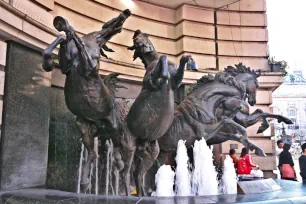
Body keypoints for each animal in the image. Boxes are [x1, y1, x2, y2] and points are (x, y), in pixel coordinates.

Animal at [41, 9, 130, 191]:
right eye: (109, 21)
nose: (125, 13)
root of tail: (100, 126)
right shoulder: (66, 66)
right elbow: (61, 43)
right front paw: (49, 59)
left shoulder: (89, 65)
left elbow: (80, 44)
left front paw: (68, 30)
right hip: (83, 126)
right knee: (93, 154)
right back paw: (85, 182)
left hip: (113, 125)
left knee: (118, 148)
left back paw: (118, 164)